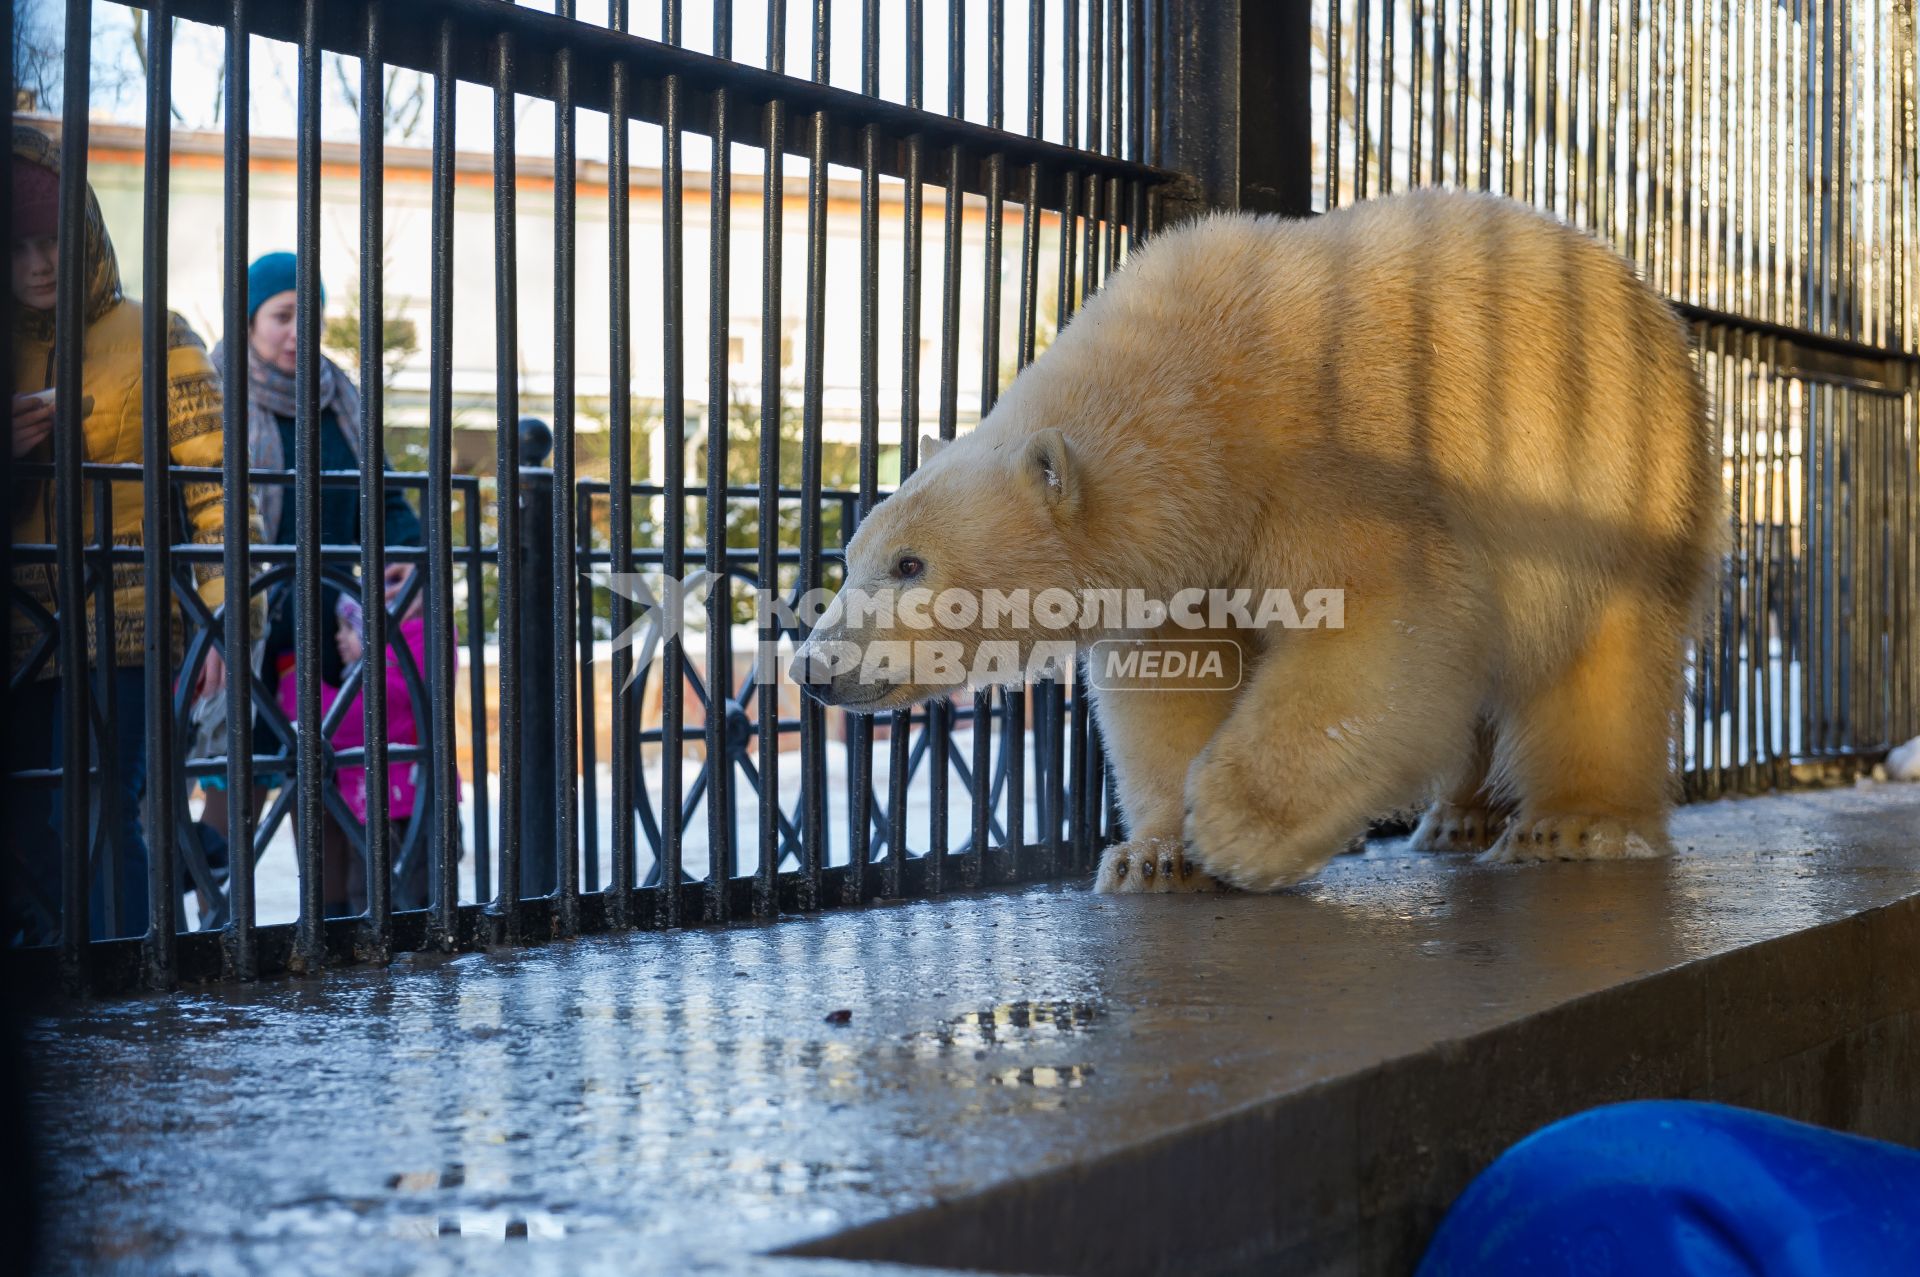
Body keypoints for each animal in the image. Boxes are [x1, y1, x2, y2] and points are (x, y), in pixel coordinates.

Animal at [787, 189, 1720, 891]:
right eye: (851, 558)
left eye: (910, 564)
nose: (815, 668)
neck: (1198, 397)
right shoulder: (1183, 562)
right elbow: (1171, 684)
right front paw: (1153, 856)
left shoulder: (1333, 469)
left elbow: (1389, 627)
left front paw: (1236, 828)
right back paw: (1459, 816)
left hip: (1622, 485)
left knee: (1602, 666)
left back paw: (1572, 825)